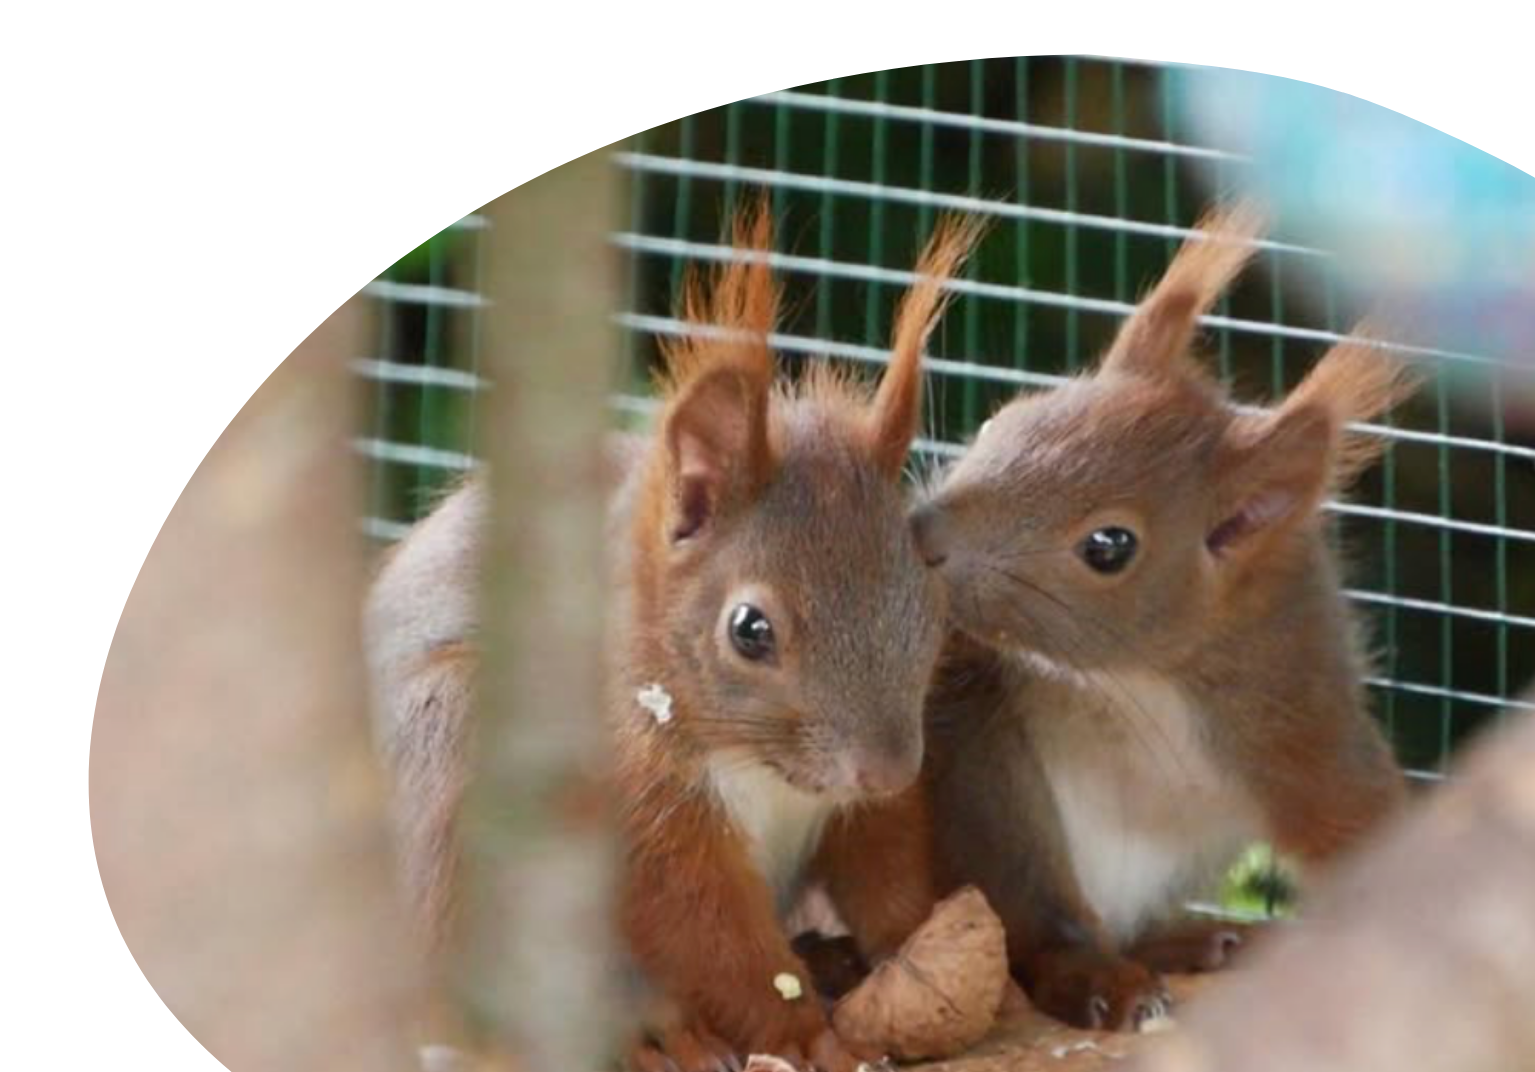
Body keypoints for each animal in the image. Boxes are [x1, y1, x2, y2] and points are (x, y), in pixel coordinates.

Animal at [365, 198, 983, 1072]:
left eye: (929, 586)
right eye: (749, 630)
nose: (887, 767)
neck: (765, 770)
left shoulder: (862, 803)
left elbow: (882, 865)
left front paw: (923, 948)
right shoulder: (638, 806)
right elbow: (710, 935)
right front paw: (806, 1033)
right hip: (446, 738)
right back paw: (649, 1036)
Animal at [908, 202, 1418, 1033]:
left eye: (1109, 546)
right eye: (1001, 420)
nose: (920, 535)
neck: (1137, 684)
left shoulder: (1302, 736)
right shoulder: (979, 715)